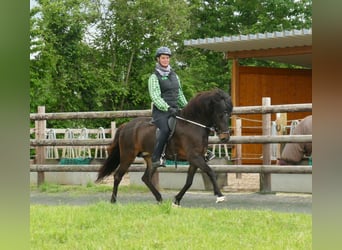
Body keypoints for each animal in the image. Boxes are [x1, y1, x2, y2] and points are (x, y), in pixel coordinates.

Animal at [97, 88, 234, 205]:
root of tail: (126, 126)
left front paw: (176, 200)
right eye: (221, 114)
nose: (225, 138)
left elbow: (189, 181)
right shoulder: (195, 157)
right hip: (128, 156)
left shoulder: (195, 159)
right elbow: (210, 172)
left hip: (151, 159)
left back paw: (159, 198)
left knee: (146, 178)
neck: (192, 125)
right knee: (118, 176)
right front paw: (220, 195)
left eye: (229, 114)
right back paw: (113, 201)